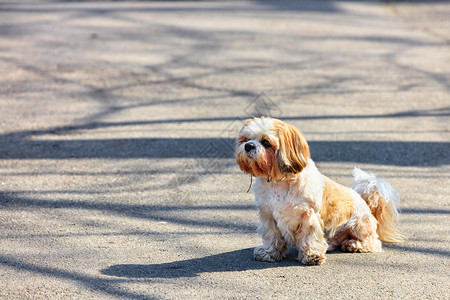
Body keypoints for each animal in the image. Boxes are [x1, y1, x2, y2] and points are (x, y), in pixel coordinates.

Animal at [236, 117, 404, 264]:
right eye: (245, 139)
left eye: (266, 142)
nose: (248, 146)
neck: (279, 183)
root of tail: (367, 205)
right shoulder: (268, 216)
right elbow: (272, 237)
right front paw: (269, 253)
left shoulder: (308, 216)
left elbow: (309, 237)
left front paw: (312, 256)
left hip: (359, 224)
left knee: (373, 242)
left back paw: (354, 245)